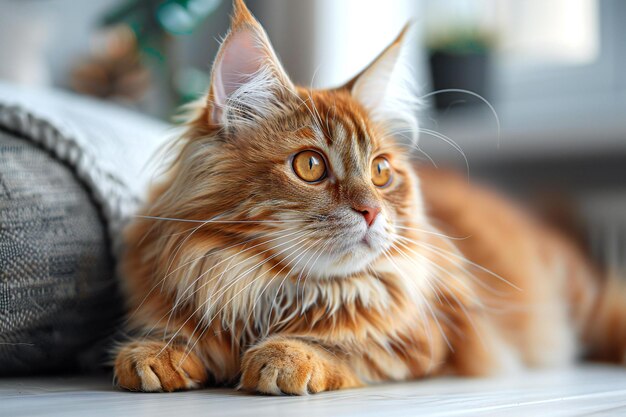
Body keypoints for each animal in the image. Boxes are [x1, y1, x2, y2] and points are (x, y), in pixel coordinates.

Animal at [113, 0, 624, 394]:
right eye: (310, 166)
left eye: (380, 172)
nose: (373, 211)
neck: (267, 287)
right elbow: (175, 335)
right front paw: (155, 352)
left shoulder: (431, 341)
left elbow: (354, 349)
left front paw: (290, 355)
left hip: (578, 291)